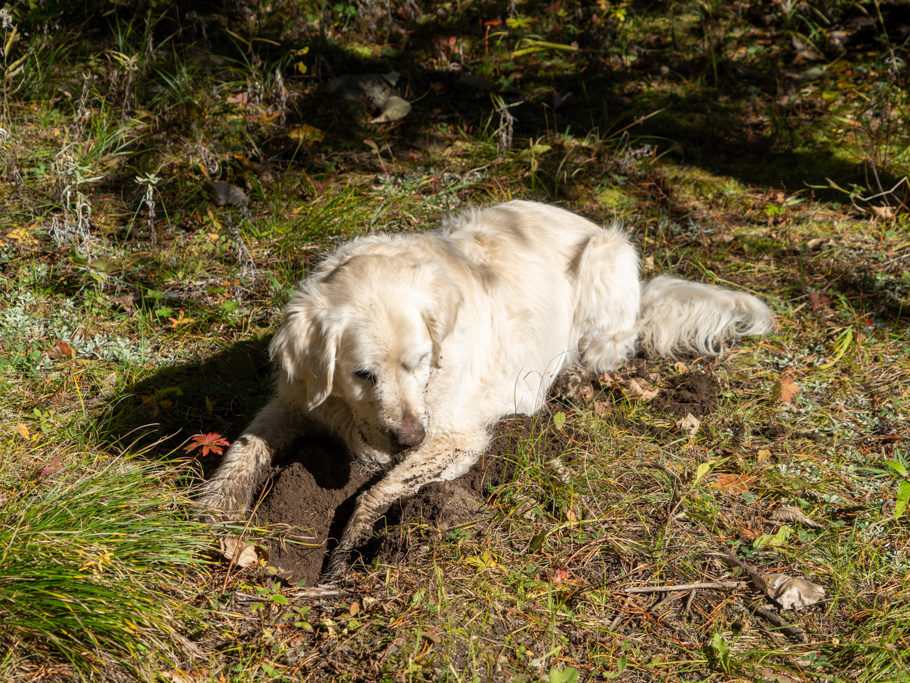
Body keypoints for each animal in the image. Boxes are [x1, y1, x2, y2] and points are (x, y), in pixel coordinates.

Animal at [198, 200, 768, 580]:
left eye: (420, 363)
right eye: (362, 374)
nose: (407, 438)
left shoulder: (457, 437)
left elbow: (377, 491)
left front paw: (347, 554)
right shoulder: (295, 400)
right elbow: (245, 450)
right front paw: (211, 510)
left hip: (605, 261)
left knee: (604, 354)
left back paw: (570, 380)